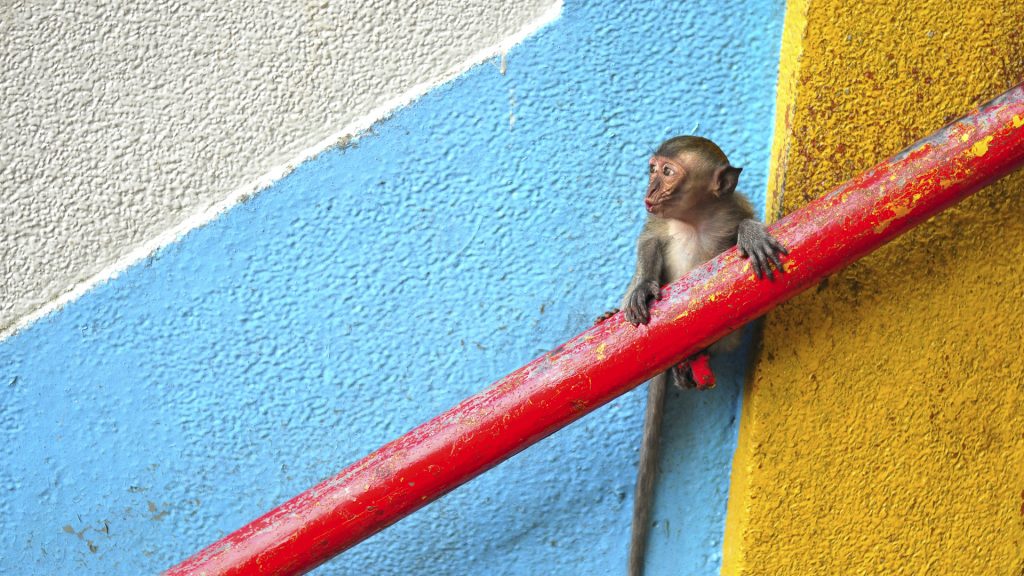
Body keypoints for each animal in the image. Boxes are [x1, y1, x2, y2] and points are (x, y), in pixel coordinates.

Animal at [598, 135, 786, 573]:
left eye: (667, 172)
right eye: (652, 169)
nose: (649, 190)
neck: (692, 221)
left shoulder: (731, 207)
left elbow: (741, 222)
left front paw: (750, 233)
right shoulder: (658, 223)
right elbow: (648, 243)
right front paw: (641, 286)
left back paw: (692, 361)